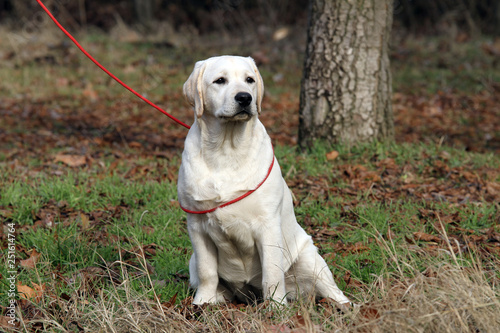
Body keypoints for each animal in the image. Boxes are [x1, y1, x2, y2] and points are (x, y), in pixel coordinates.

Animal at [178, 55, 350, 304]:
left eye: (249, 80)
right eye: (220, 80)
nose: (244, 98)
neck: (226, 150)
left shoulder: (267, 225)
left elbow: (272, 273)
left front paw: (277, 307)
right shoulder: (197, 225)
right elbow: (207, 270)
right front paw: (203, 303)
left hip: (310, 258)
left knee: (333, 291)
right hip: (193, 262)